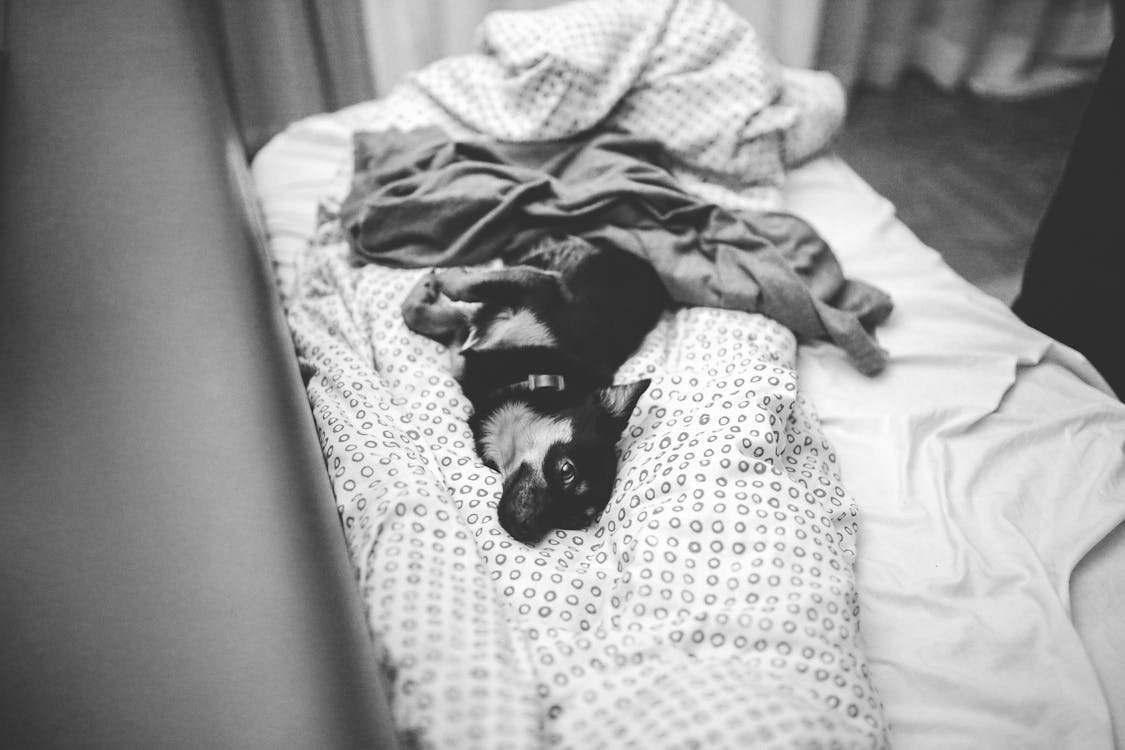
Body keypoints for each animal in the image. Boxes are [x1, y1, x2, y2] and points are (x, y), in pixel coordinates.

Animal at [402, 237, 666, 541]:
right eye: (567, 471)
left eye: (573, 521)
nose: (526, 530)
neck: (535, 376)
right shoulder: (542, 286)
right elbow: (457, 292)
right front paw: (437, 280)